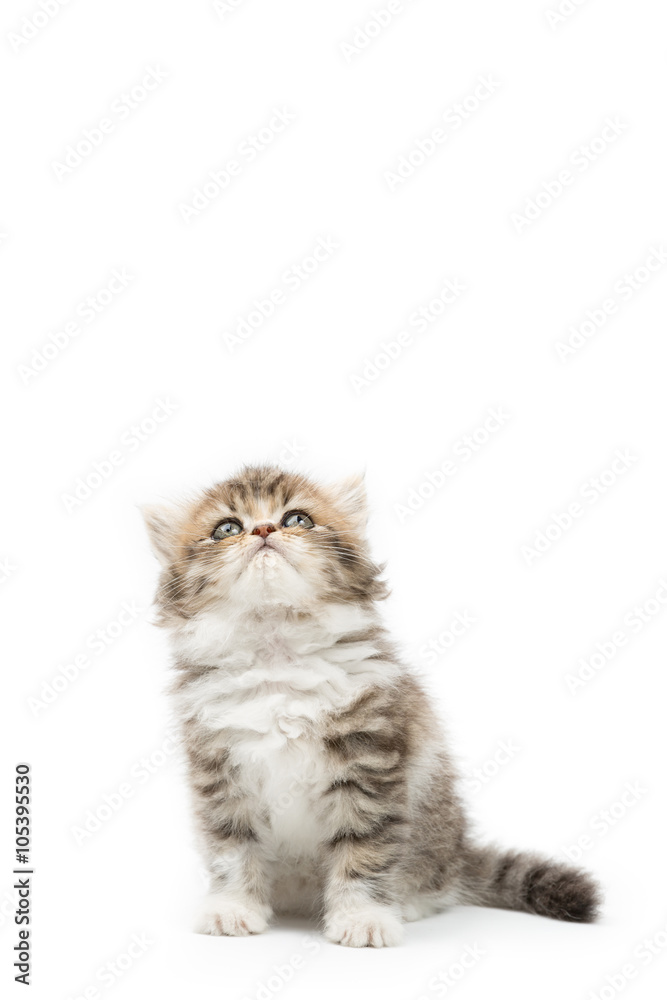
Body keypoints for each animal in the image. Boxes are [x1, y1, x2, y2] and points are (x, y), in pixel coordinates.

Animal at [144, 464, 604, 948]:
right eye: (227, 528)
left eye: (297, 519)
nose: (265, 530)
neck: (277, 652)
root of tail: (459, 852)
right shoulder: (220, 774)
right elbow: (232, 850)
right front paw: (233, 909)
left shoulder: (367, 762)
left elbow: (364, 849)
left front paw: (362, 918)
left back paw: (409, 901)